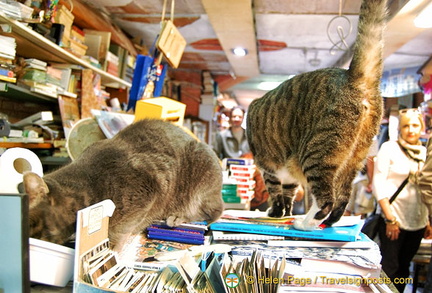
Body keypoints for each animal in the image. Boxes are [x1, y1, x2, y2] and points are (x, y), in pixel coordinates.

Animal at [24, 118, 223, 249]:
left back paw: (178, 217)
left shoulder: (149, 189)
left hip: (202, 173)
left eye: (30, 224)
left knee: (214, 212)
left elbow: (119, 230)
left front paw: (111, 251)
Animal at [245, 0, 386, 229]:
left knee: (326, 199)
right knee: (341, 199)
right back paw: (328, 224)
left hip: (315, 154)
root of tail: (353, 76)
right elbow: (289, 194)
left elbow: (276, 193)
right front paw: (285, 212)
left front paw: (276, 213)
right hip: (354, 160)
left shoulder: (269, 169)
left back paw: (304, 223)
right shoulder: (289, 176)